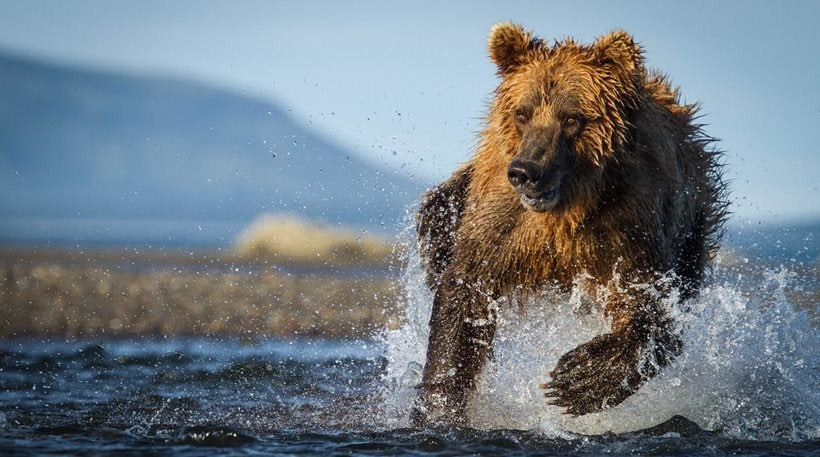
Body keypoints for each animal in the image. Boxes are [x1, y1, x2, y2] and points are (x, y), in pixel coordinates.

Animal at [414, 24, 728, 424]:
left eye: (572, 117)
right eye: (523, 113)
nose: (525, 172)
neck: (566, 211)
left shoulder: (630, 226)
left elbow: (651, 307)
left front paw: (576, 379)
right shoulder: (505, 223)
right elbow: (466, 296)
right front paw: (440, 408)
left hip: (690, 228)